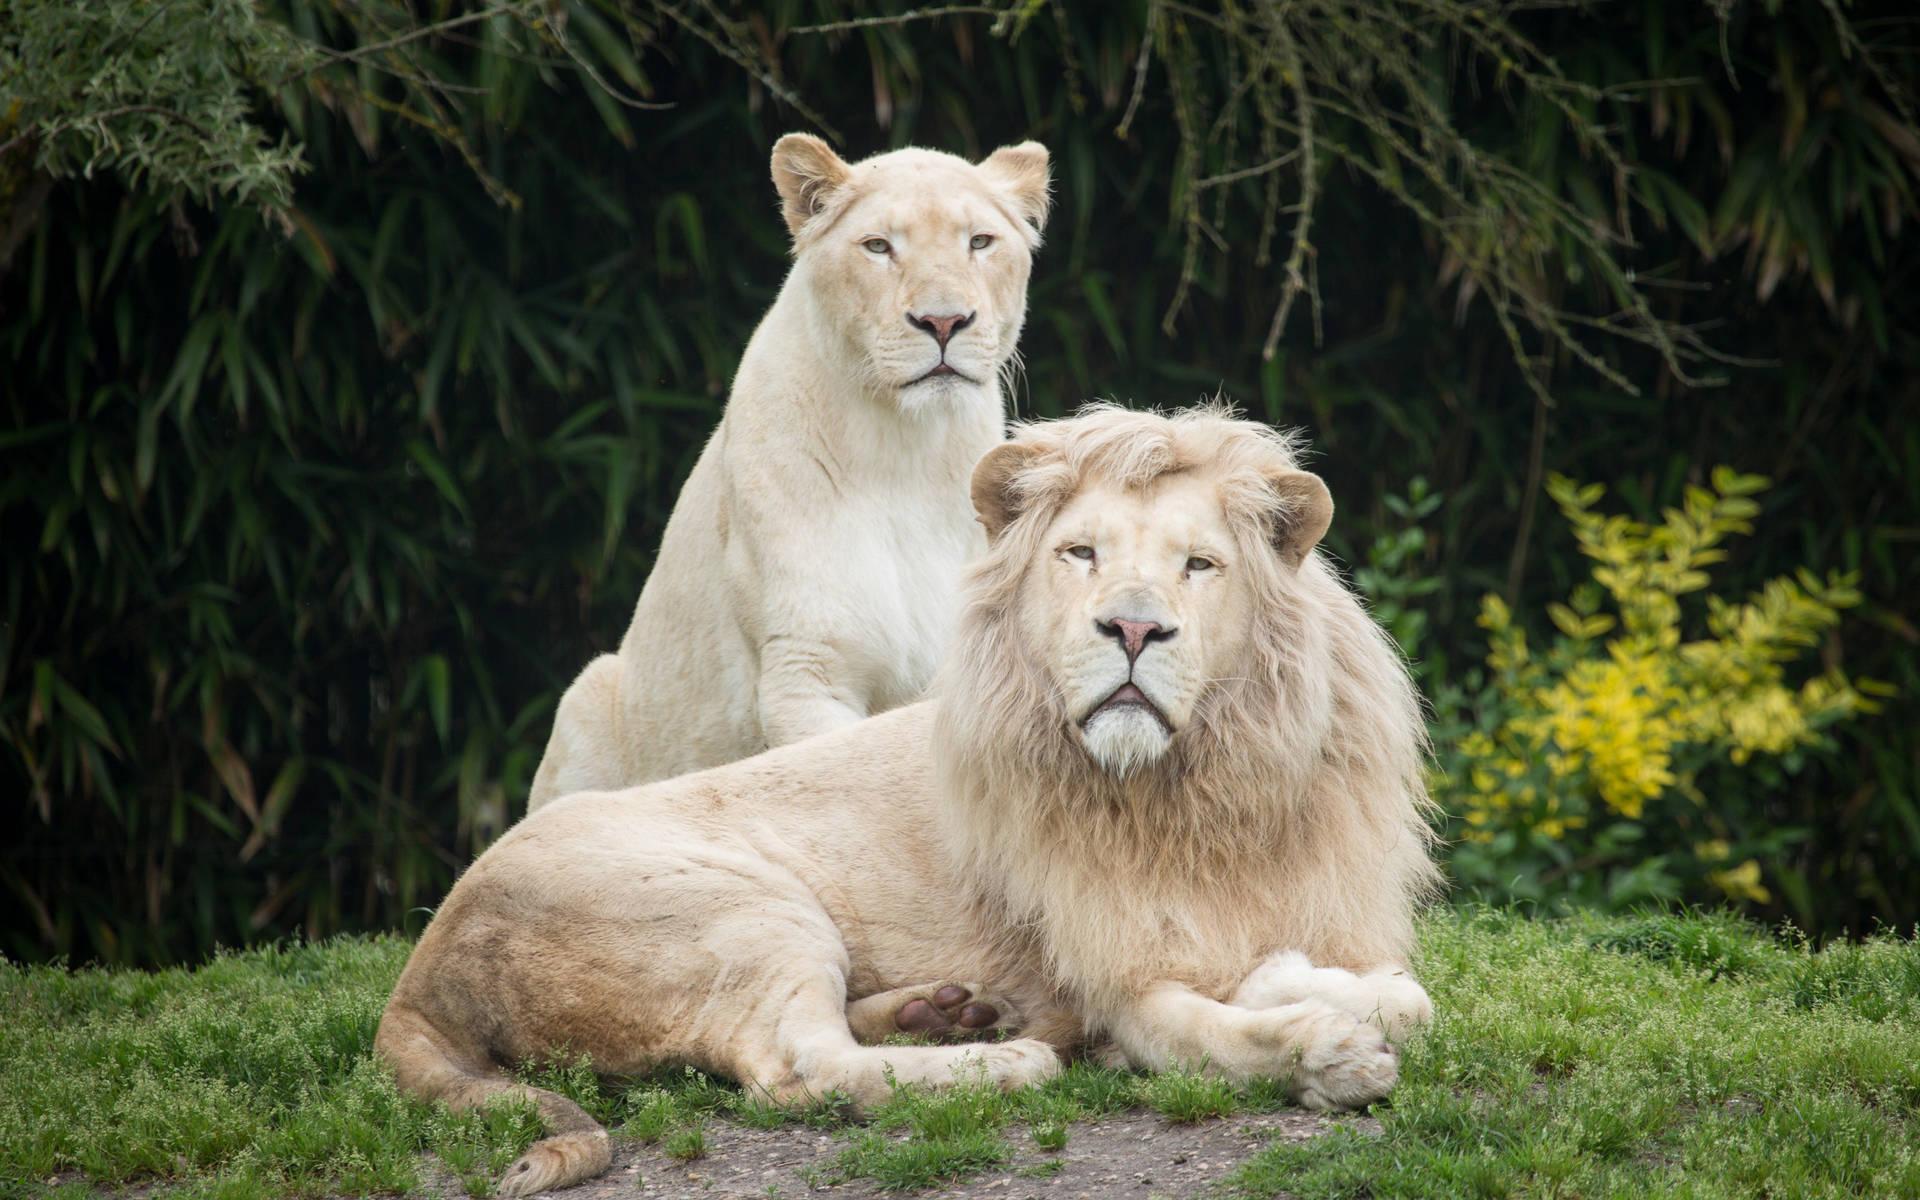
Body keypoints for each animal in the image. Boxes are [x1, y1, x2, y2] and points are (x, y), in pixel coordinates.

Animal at [382, 403, 1443, 1190]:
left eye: (1200, 564)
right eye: (1081, 555)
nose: (1134, 630)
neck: (1204, 789)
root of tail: (421, 967)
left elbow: (1398, 995)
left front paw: (1327, 988)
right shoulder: (1115, 988)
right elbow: (1216, 1034)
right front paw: (1328, 1054)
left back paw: (951, 1014)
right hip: (747, 910)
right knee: (798, 1068)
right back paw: (1002, 1062)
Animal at [529, 133, 1052, 806]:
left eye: (980, 242)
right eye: (878, 246)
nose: (943, 322)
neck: (906, 451)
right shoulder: (804, 669)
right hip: (587, 695)